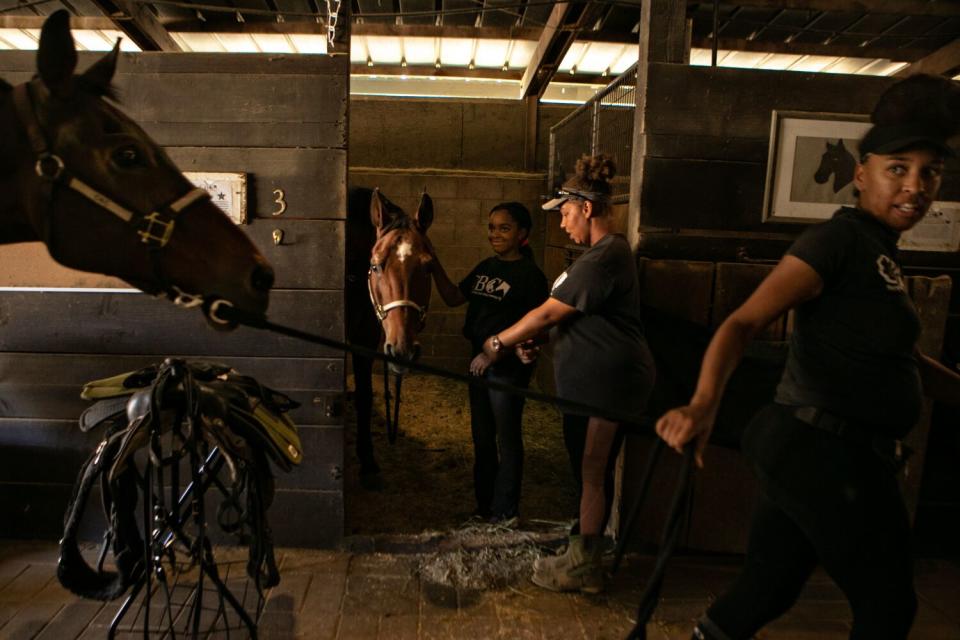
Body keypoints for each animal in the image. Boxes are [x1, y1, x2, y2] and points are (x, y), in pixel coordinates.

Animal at [346, 186, 434, 484]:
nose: (402, 349)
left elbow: (364, 395)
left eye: (429, 267)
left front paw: (368, 461)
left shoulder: (364, 340)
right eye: (375, 266)